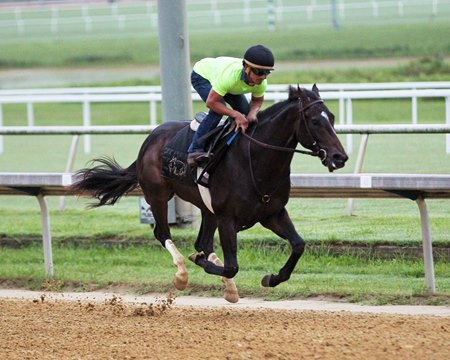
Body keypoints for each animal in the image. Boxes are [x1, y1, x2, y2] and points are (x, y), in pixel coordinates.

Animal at [71, 86, 348, 302]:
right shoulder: (227, 218)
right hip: (158, 195)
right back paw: (182, 275)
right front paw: (200, 263)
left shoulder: (273, 214)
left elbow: (298, 245)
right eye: (315, 121)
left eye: (332, 117)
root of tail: (151, 138)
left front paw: (272, 278)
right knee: (163, 233)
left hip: (207, 209)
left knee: (202, 241)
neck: (256, 160)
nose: (340, 157)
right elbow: (232, 265)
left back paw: (228, 287)